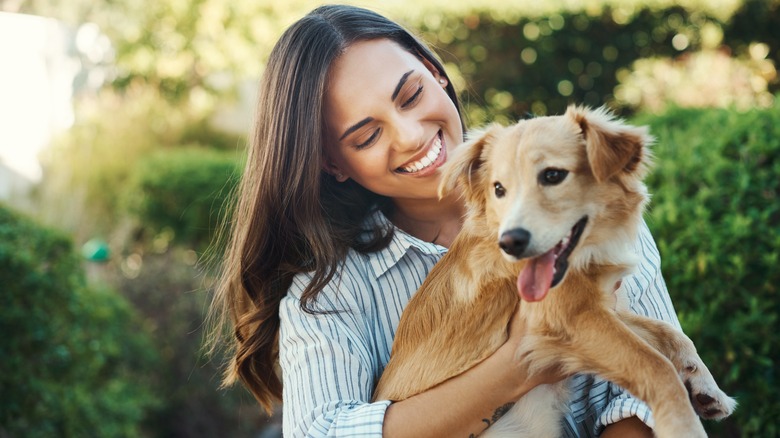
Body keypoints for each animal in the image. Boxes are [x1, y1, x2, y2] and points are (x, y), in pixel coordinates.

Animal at [374, 106, 736, 438]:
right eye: (498, 189)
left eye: (552, 175)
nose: (511, 242)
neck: (586, 252)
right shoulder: (569, 319)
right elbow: (655, 365)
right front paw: (682, 425)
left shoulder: (600, 307)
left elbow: (670, 333)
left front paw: (706, 387)